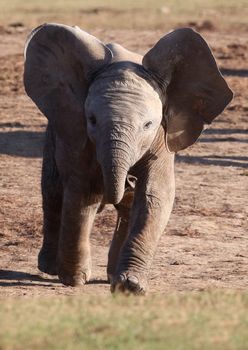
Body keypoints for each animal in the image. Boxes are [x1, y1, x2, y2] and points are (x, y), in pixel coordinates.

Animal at [23, 23, 232, 294]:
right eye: (92, 120)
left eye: (148, 124)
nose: (129, 180)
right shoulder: (80, 134)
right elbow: (83, 193)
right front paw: (73, 279)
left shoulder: (161, 137)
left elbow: (154, 196)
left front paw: (129, 287)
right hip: (56, 128)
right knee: (53, 190)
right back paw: (50, 267)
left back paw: (111, 274)